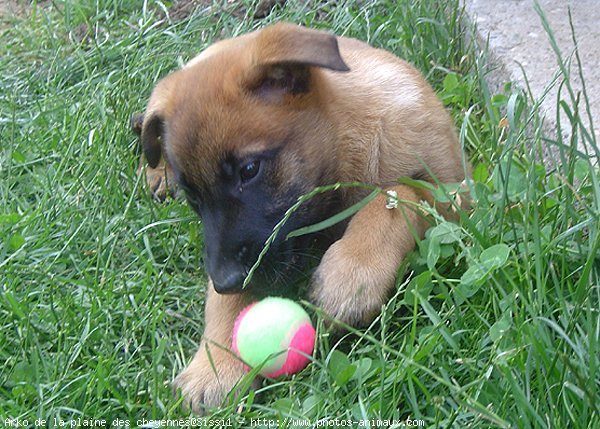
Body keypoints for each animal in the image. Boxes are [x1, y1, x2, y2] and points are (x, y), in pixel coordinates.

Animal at [138, 21, 466, 410]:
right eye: (193, 198)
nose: (227, 280)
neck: (348, 149)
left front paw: (352, 274)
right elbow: (220, 304)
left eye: (249, 170)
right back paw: (156, 169)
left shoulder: (454, 196)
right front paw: (214, 366)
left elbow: (396, 196)